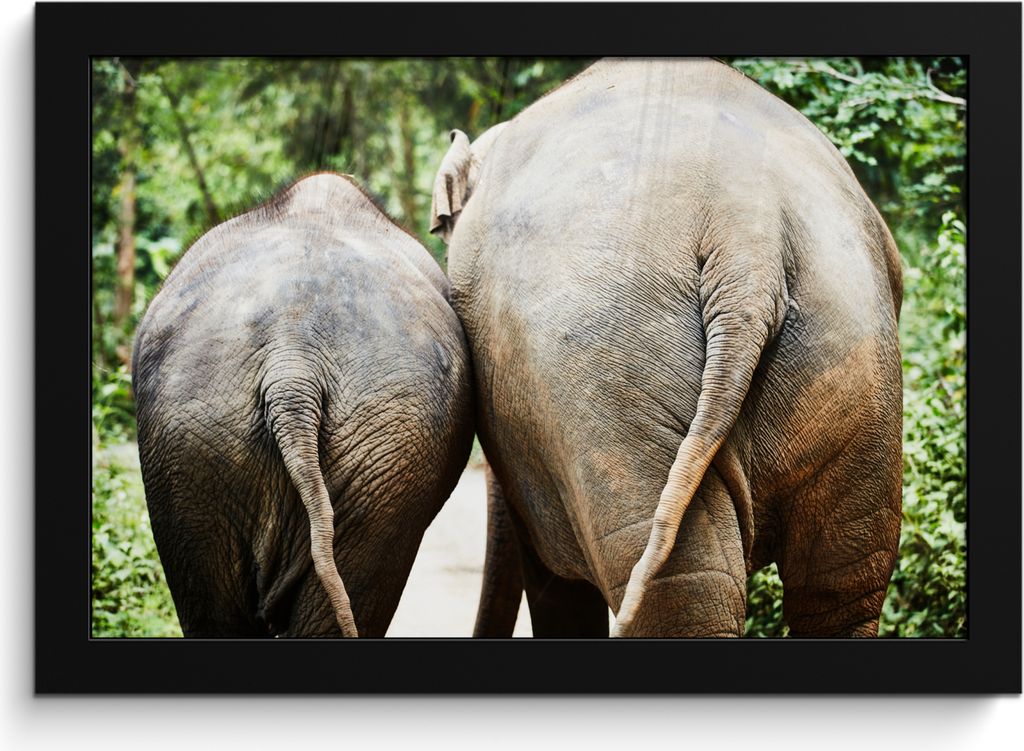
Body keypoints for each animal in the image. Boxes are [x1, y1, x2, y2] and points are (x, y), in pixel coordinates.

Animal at [431, 58, 903, 638]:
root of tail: (746, 237)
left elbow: (555, 587)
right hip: (853, 358)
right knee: (841, 588)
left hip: (608, 382)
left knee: (676, 591)